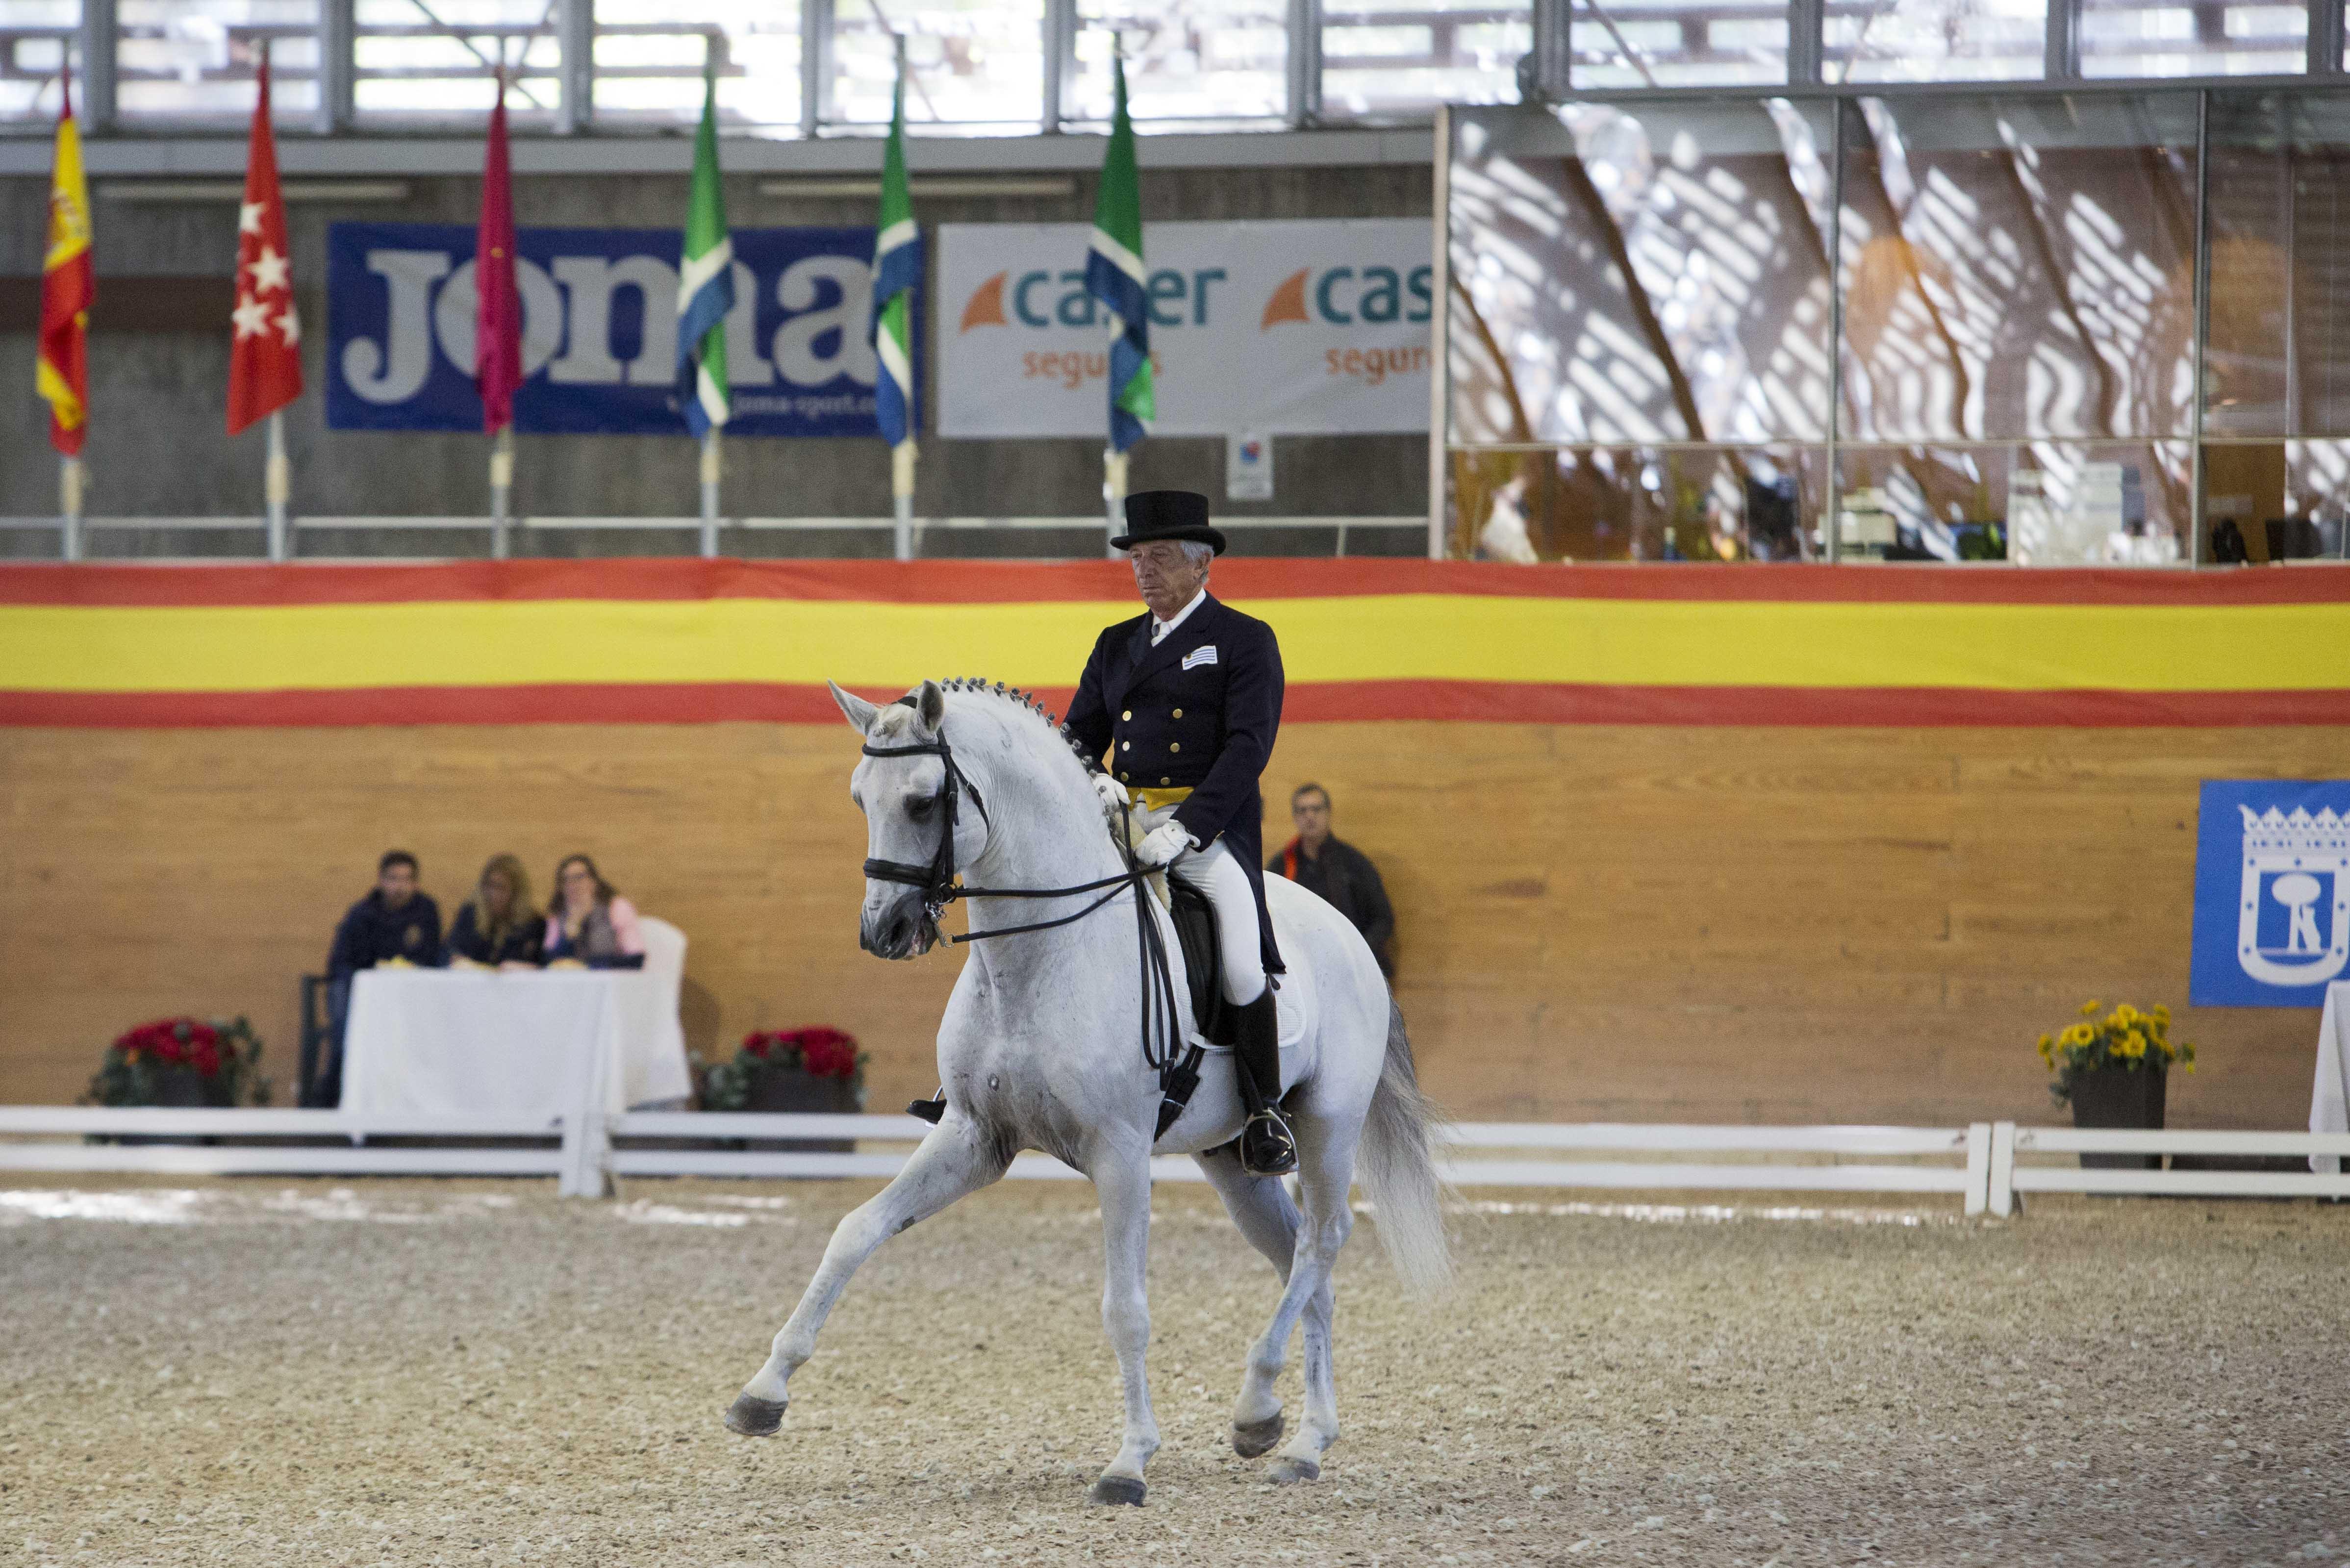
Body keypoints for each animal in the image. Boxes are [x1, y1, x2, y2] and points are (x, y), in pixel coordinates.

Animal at [714, 677, 1447, 1504]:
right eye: (858, 796)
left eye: (924, 801)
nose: (885, 930)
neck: (1039, 952)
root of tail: (1350, 935)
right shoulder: (973, 1135)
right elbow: (855, 1230)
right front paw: (762, 1393)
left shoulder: (1119, 1154)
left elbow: (1124, 1307)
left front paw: (1129, 1462)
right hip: (1234, 1164)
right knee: (1301, 1259)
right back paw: (1298, 1439)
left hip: (1326, 1126)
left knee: (1324, 1239)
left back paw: (1260, 1401)